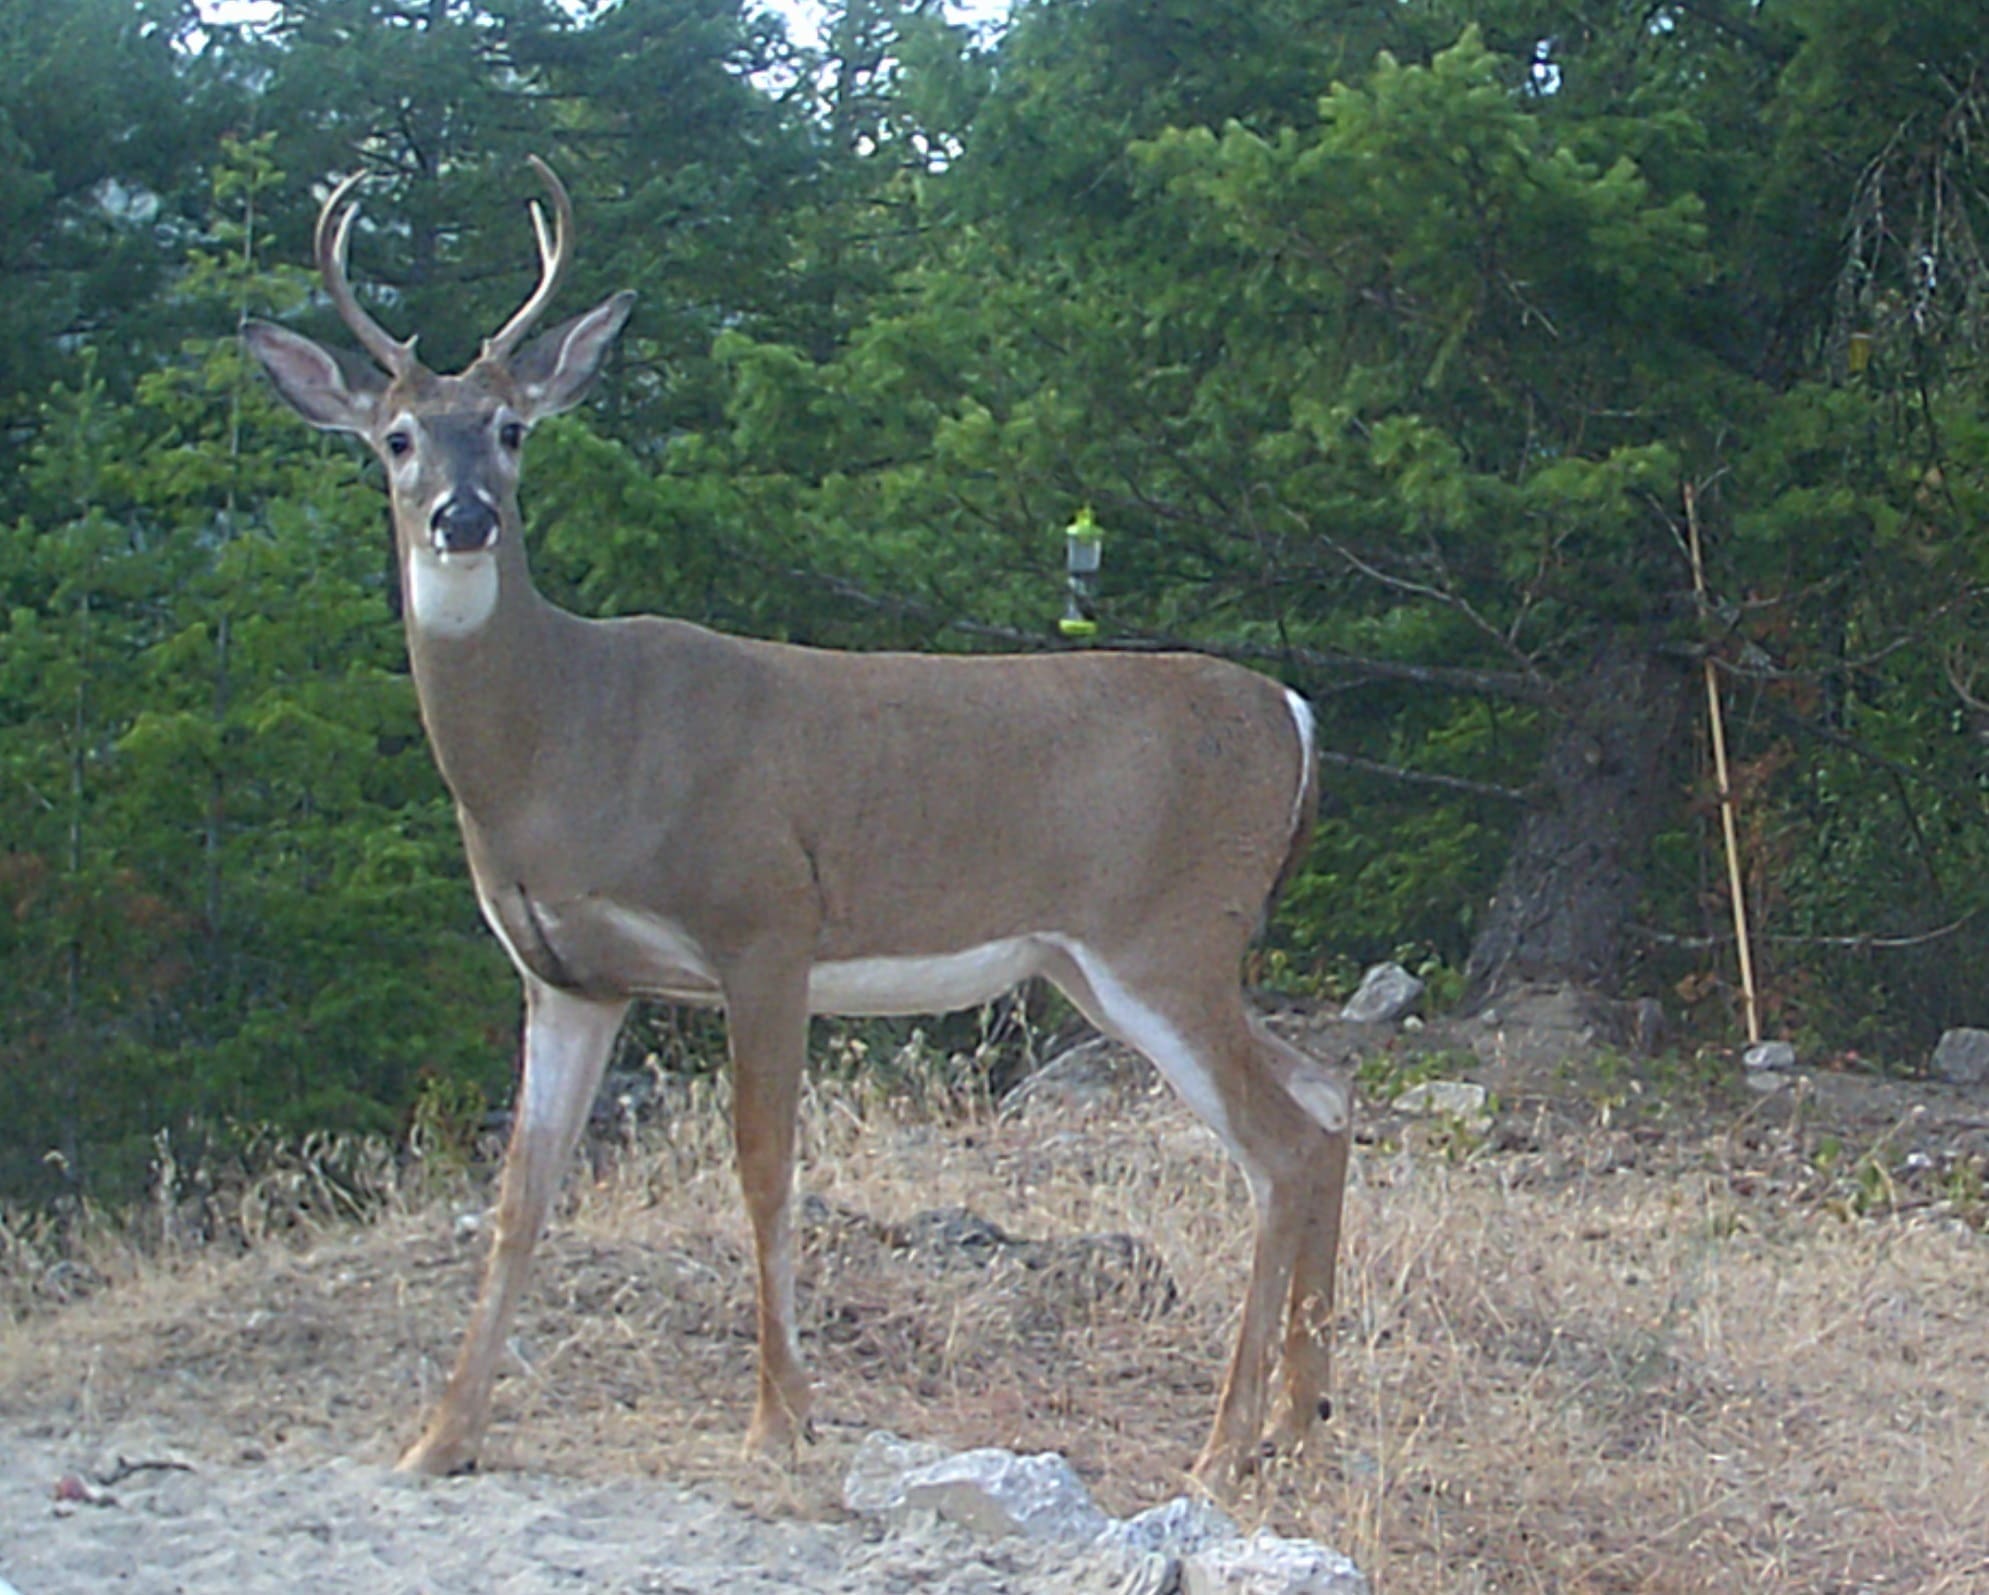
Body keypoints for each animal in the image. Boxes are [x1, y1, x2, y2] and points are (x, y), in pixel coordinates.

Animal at [240, 155, 1344, 1487]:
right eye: (396, 436)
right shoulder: (566, 972)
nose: (463, 516)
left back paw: (1222, 1445)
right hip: (1122, 961)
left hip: (1164, 936)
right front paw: (440, 1436)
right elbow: (521, 1192)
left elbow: (763, 1167)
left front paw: (780, 1419)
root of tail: (1294, 712)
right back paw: (1297, 1418)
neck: (561, 748)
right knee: (1329, 1096)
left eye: (511, 428)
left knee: (1280, 1144)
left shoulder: (763, 918)